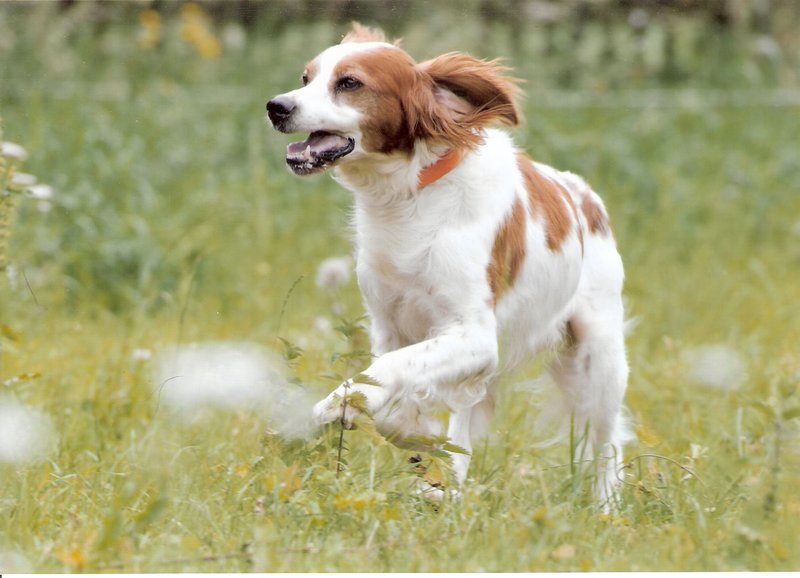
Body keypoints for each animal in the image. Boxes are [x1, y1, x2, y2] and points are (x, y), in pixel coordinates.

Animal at [268, 22, 632, 502]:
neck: (409, 198)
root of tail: (587, 198)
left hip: (599, 356)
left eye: (349, 83)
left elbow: (384, 374)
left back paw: (607, 506)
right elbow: (391, 394)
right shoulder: (391, 328)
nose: (276, 106)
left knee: (608, 442)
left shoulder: (474, 336)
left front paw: (335, 406)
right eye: (306, 78)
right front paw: (417, 435)